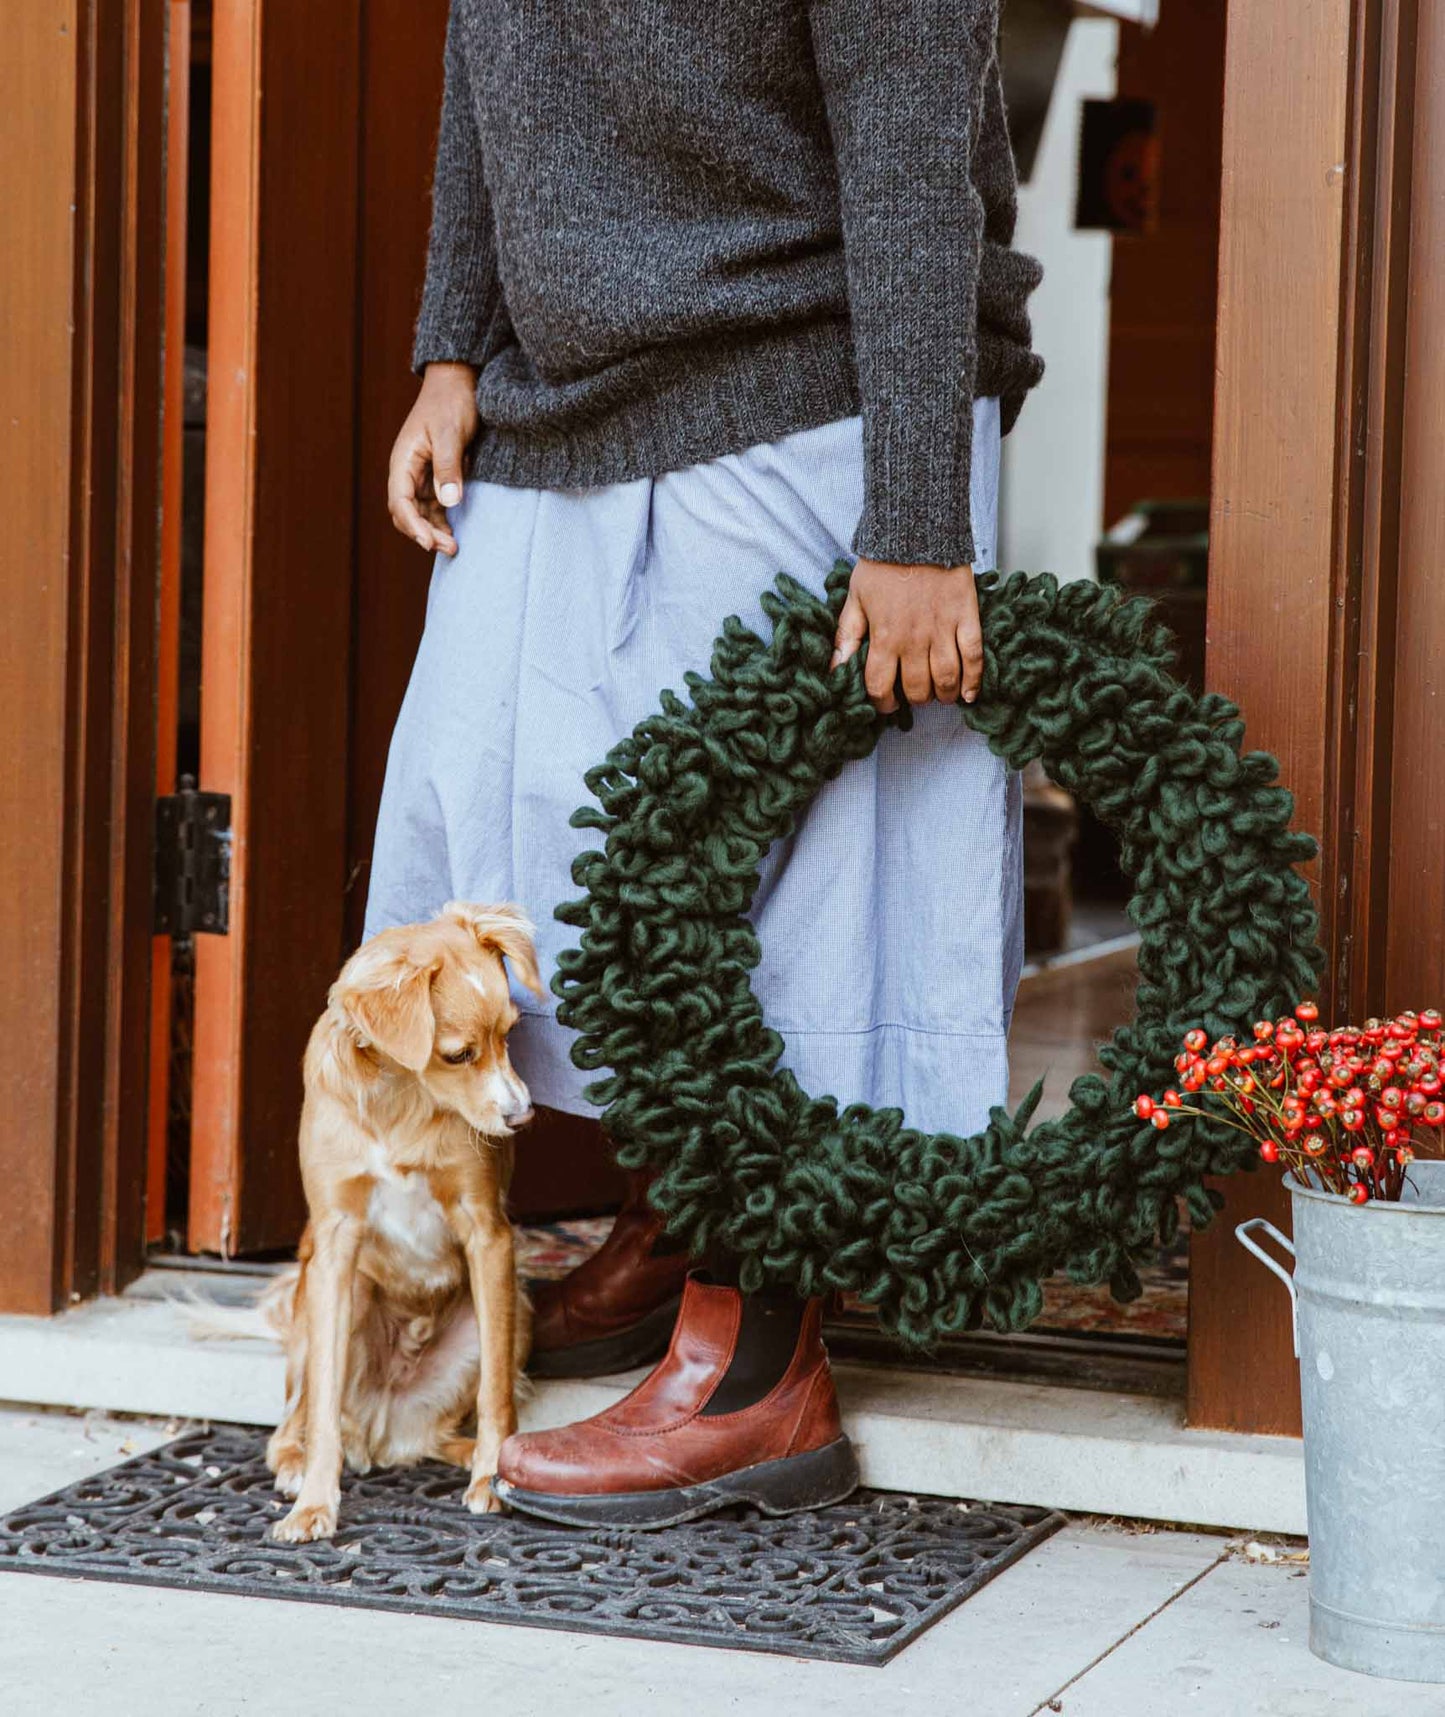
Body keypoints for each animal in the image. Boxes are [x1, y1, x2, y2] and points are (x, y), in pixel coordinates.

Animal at [262, 899, 538, 1545]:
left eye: (509, 1034)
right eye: (458, 1054)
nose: (522, 1117)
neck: (400, 1095)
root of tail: (384, 1430)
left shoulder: (488, 1234)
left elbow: (495, 1394)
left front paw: (492, 1477)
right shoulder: (335, 1245)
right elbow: (322, 1406)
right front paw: (314, 1504)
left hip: (515, 1309)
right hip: (334, 1299)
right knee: (295, 1419)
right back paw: (294, 1461)